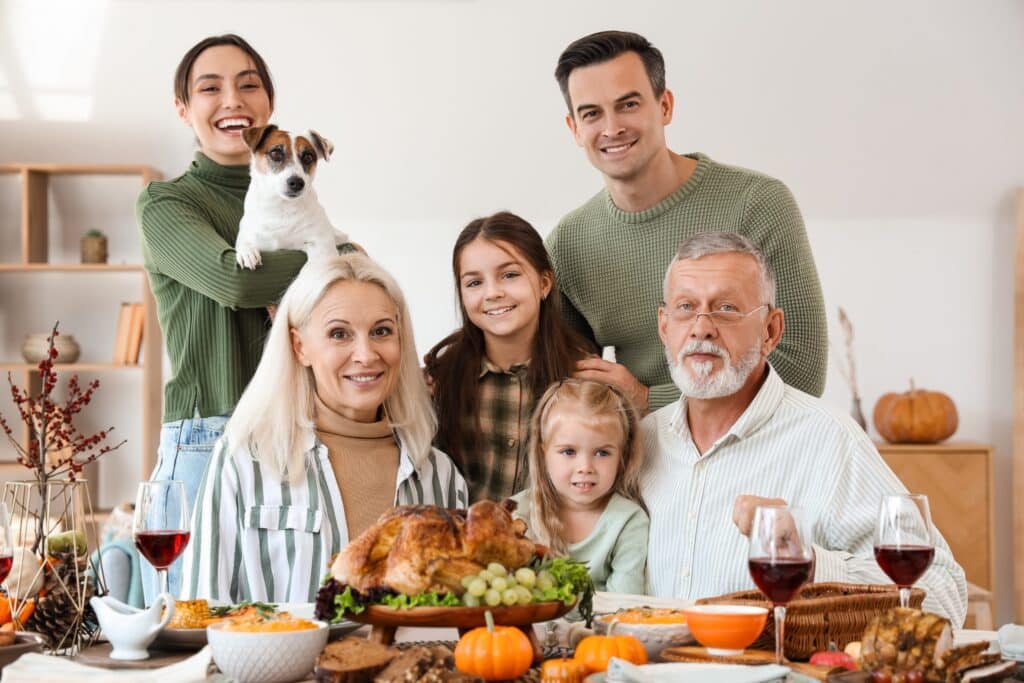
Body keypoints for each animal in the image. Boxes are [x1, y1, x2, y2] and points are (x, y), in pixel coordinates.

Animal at [234, 125, 348, 270]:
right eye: (276, 153)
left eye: (308, 157)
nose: (297, 183)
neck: (282, 207)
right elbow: (244, 240)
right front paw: (246, 252)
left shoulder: (321, 246)